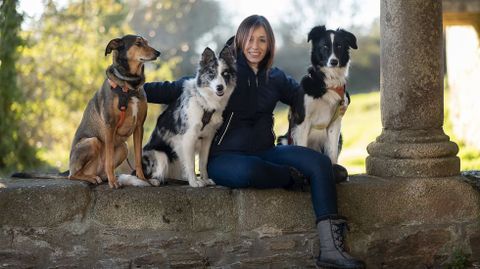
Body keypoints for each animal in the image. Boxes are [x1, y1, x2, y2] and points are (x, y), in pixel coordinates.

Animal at [68, 34, 160, 187]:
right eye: (138, 43)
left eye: (147, 42)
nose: (158, 53)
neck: (129, 86)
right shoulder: (110, 125)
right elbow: (110, 160)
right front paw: (113, 183)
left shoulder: (139, 126)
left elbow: (138, 158)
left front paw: (143, 179)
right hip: (92, 141)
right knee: (73, 175)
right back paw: (94, 178)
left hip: (124, 147)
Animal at [120, 45, 236, 186]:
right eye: (211, 73)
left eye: (225, 74)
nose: (220, 87)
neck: (205, 102)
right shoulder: (188, 137)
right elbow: (191, 164)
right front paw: (194, 182)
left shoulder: (207, 137)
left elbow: (203, 163)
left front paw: (204, 179)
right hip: (160, 155)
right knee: (146, 175)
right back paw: (154, 181)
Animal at [280, 26, 354, 176]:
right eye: (324, 46)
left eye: (339, 46)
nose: (333, 62)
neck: (327, 84)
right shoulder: (302, 121)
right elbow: (302, 149)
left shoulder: (335, 123)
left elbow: (332, 152)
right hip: (284, 139)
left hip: (340, 137)